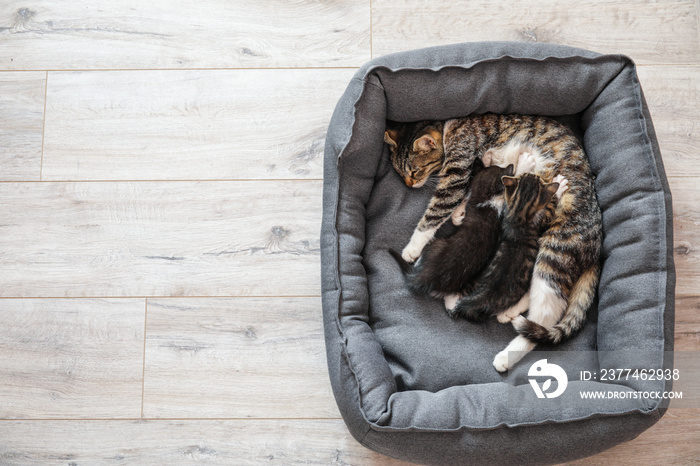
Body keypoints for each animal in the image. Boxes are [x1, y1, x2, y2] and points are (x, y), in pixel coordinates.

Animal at [448, 171, 568, 324]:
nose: (535, 173)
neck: (519, 214)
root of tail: (472, 303)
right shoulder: (543, 219)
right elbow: (551, 204)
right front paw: (559, 185)